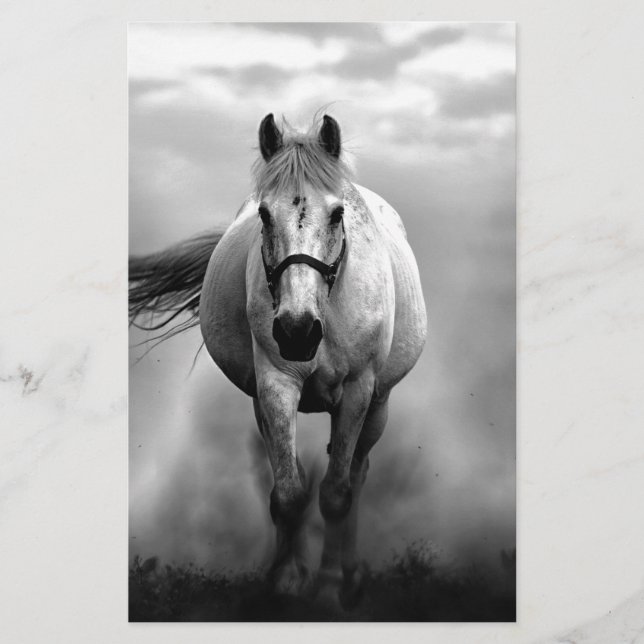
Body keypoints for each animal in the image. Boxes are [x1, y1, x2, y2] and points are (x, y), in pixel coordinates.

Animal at [129, 113, 427, 609]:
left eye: (337, 214)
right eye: (265, 215)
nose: (296, 330)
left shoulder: (358, 391)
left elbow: (337, 494)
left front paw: (328, 589)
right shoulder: (274, 385)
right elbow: (289, 493)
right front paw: (288, 582)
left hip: (379, 404)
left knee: (358, 474)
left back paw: (350, 575)